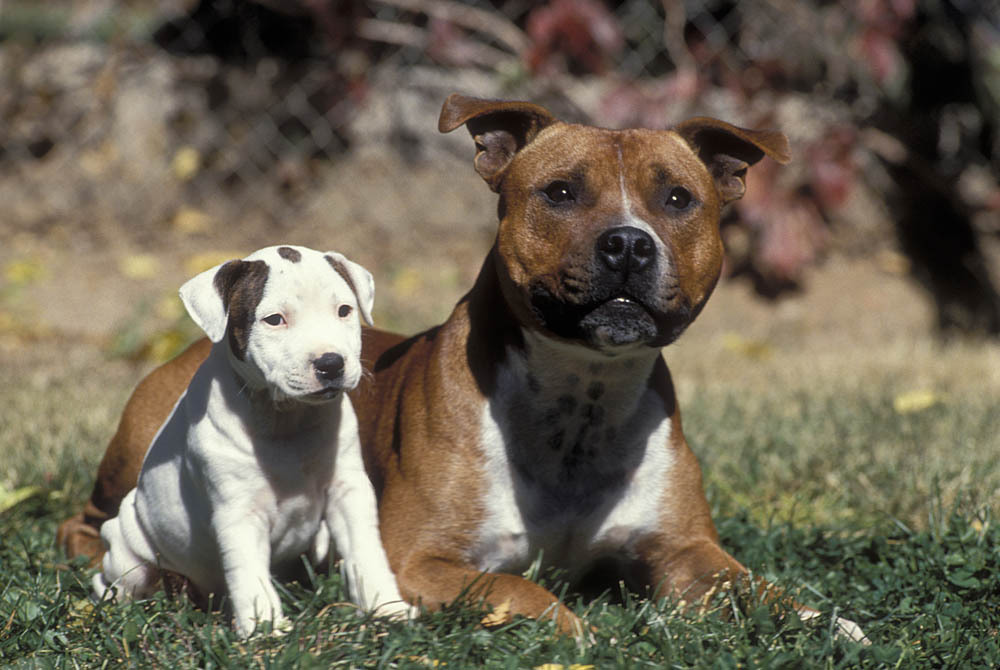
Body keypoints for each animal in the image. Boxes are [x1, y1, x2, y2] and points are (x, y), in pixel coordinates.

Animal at [94, 244, 414, 636]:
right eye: (274, 320)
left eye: (344, 310)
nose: (331, 364)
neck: (286, 418)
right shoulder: (238, 512)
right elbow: (248, 572)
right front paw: (267, 631)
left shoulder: (348, 490)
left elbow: (366, 551)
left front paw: (388, 609)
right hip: (129, 546)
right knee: (114, 582)